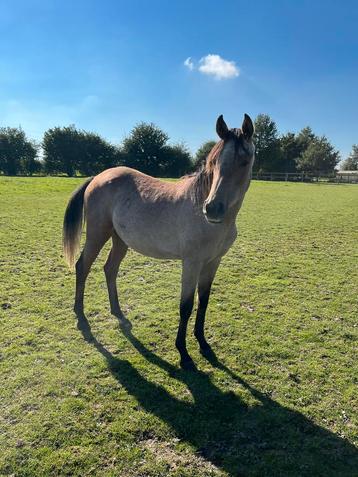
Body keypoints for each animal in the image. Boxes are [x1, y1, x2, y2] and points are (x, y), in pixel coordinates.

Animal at [63, 114, 255, 368]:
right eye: (214, 163)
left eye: (245, 161)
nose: (212, 208)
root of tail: (98, 177)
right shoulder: (191, 263)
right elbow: (186, 306)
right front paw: (183, 353)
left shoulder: (213, 262)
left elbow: (203, 301)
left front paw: (203, 343)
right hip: (97, 234)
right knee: (82, 267)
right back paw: (81, 319)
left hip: (119, 240)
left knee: (109, 269)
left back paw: (119, 314)